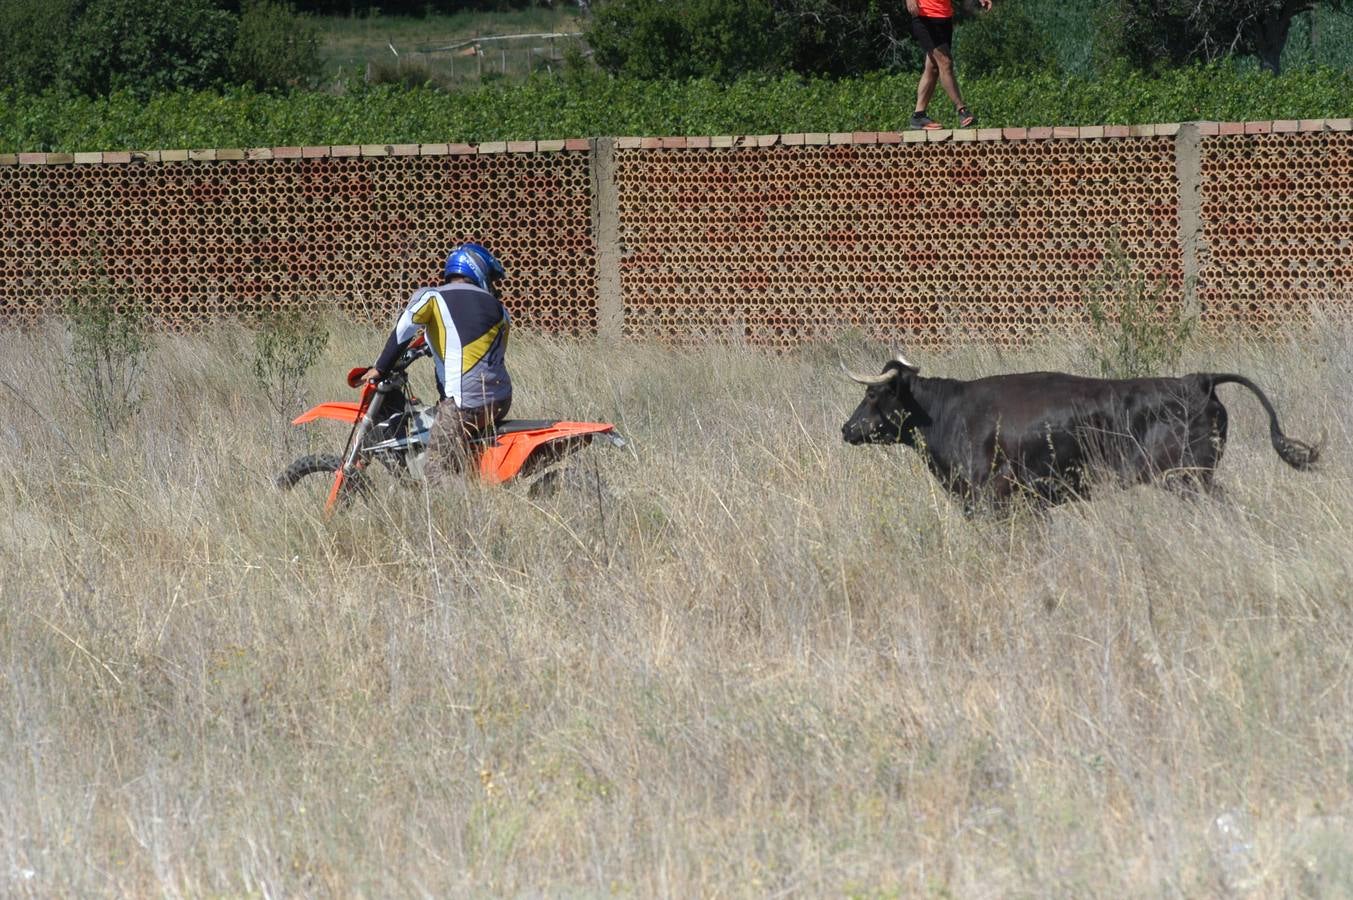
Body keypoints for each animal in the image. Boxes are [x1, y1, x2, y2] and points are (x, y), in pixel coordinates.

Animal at [838, 357, 1315, 511]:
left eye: (874, 394)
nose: (847, 429)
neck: (949, 414)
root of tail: (1198, 380)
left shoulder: (995, 500)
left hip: (1189, 478)